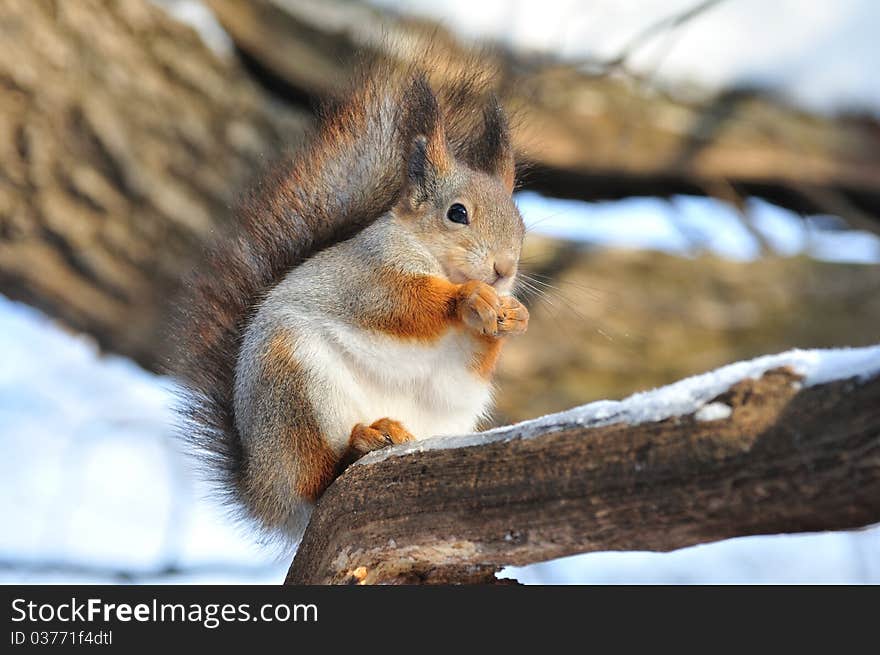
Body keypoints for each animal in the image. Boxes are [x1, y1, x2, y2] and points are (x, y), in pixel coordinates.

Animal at [175, 61, 524, 544]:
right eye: (457, 213)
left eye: (520, 223)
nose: (504, 270)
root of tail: (264, 493)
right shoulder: (368, 276)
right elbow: (403, 304)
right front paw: (467, 296)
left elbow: (475, 355)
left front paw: (513, 317)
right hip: (294, 392)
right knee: (316, 478)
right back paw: (360, 443)